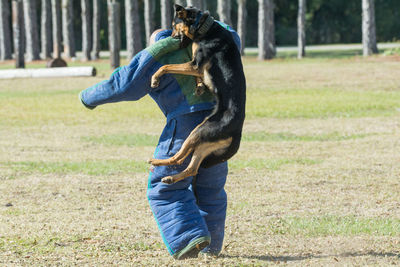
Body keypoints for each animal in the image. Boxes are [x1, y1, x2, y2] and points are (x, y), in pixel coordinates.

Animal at [148, 4, 245, 184]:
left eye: (174, 25)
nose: (172, 37)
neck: (205, 28)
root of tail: (237, 132)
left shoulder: (195, 65)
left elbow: (166, 66)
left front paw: (155, 79)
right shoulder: (196, 67)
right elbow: (198, 78)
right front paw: (200, 86)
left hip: (198, 132)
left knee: (178, 157)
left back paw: (158, 162)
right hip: (204, 142)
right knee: (192, 168)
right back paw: (170, 178)